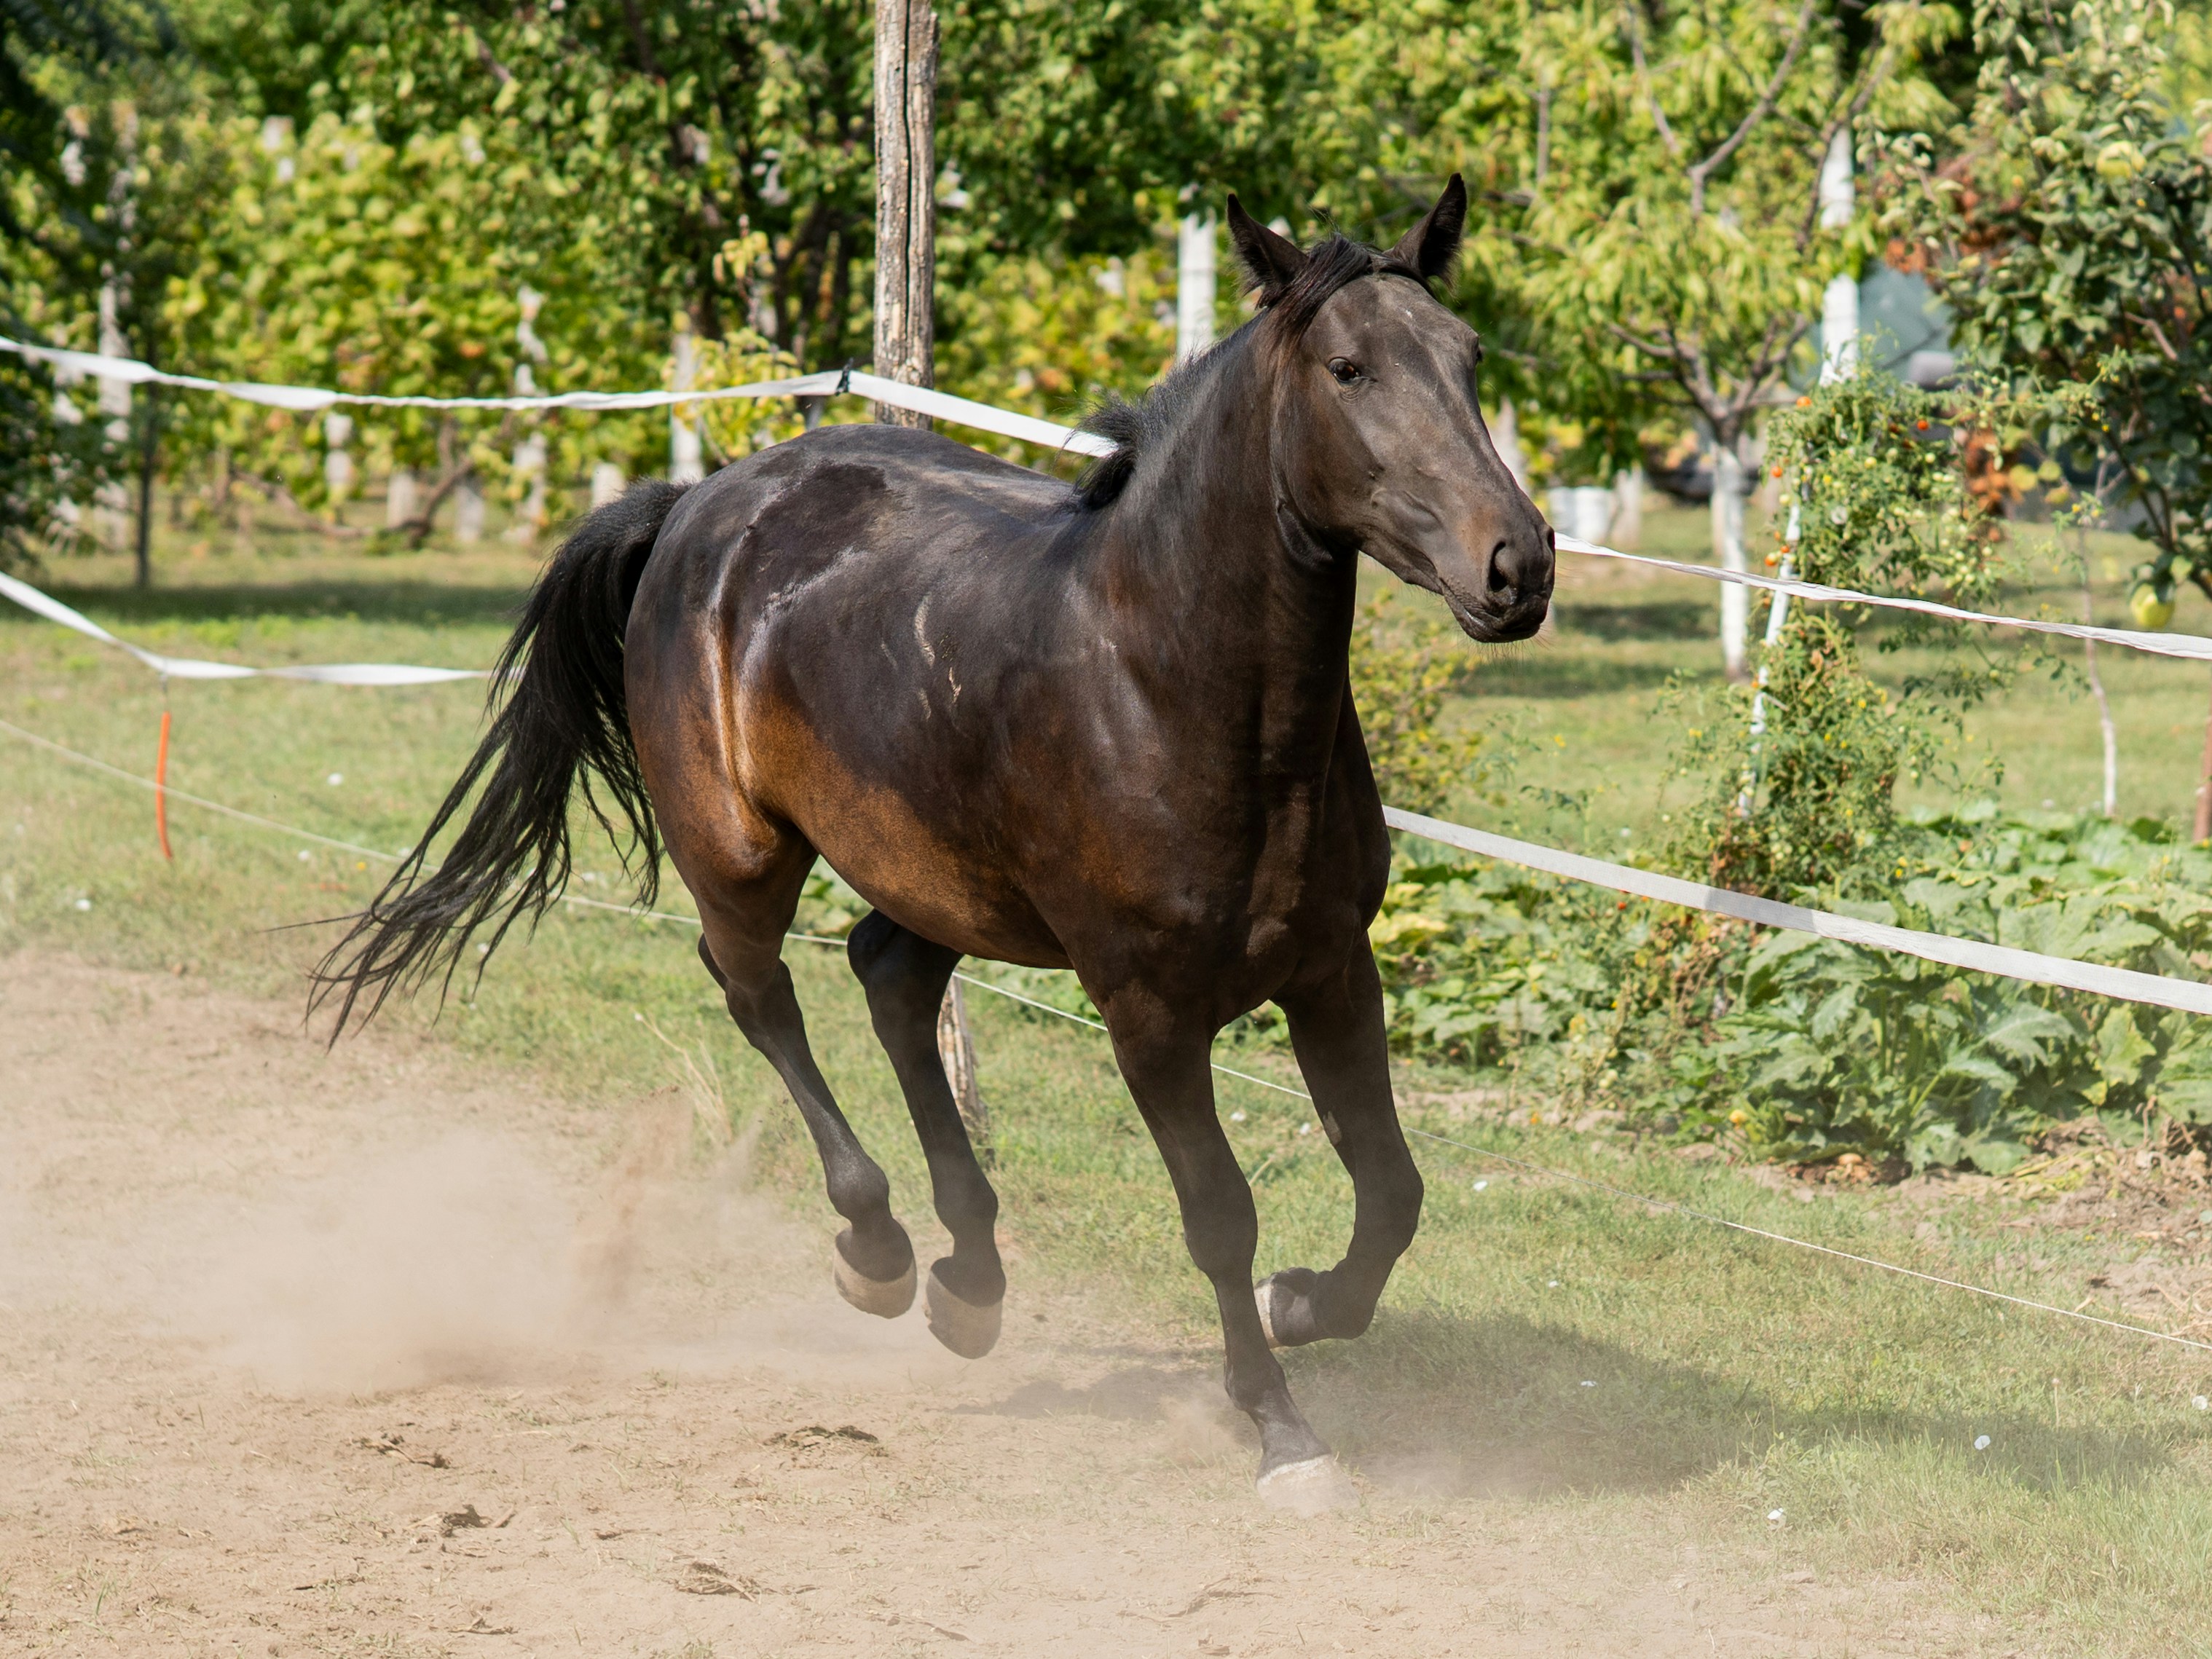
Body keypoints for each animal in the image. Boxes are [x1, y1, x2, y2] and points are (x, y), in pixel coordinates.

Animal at [314, 176, 1553, 1510]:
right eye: (1348, 368)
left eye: (1468, 358)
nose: (1518, 564)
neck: (1169, 683)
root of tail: (697, 505)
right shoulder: (1147, 1009)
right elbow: (1220, 1212)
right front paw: (1280, 1427)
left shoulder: (1330, 967)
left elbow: (1391, 1189)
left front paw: (1303, 1301)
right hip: (741, 853)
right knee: (759, 993)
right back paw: (880, 1247)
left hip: (932, 870)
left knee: (889, 977)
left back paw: (970, 1277)